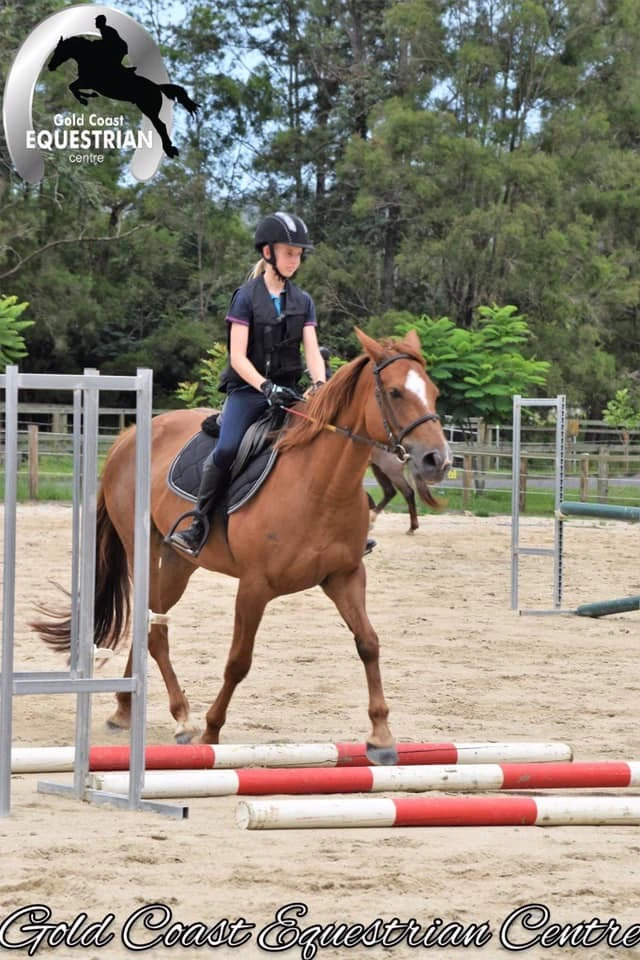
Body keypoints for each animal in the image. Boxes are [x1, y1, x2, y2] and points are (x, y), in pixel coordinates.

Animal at [32, 329, 452, 765]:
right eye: (395, 392)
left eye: (433, 392)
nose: (437, 460)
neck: (320, 484)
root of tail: (130, 436)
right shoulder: (254, 586)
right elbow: (238, 662)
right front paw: (211, 731)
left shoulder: (345, 576)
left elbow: (368, 644)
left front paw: (382, 737)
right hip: (142, 550)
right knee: (157, 631)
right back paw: (183, 719)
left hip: (179, 563)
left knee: (151, 624)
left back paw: (124, 710)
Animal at [47, 36, 199, 159]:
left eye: (59, 50)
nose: (50, 66)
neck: (92, 58)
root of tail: (157, 86)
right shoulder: (85, 82)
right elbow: (72, 87)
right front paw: (87, 97)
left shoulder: (87, 81)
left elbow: (72, 87)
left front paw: (85, 99)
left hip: (149, 110)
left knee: (161, 126)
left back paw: (169, 150)